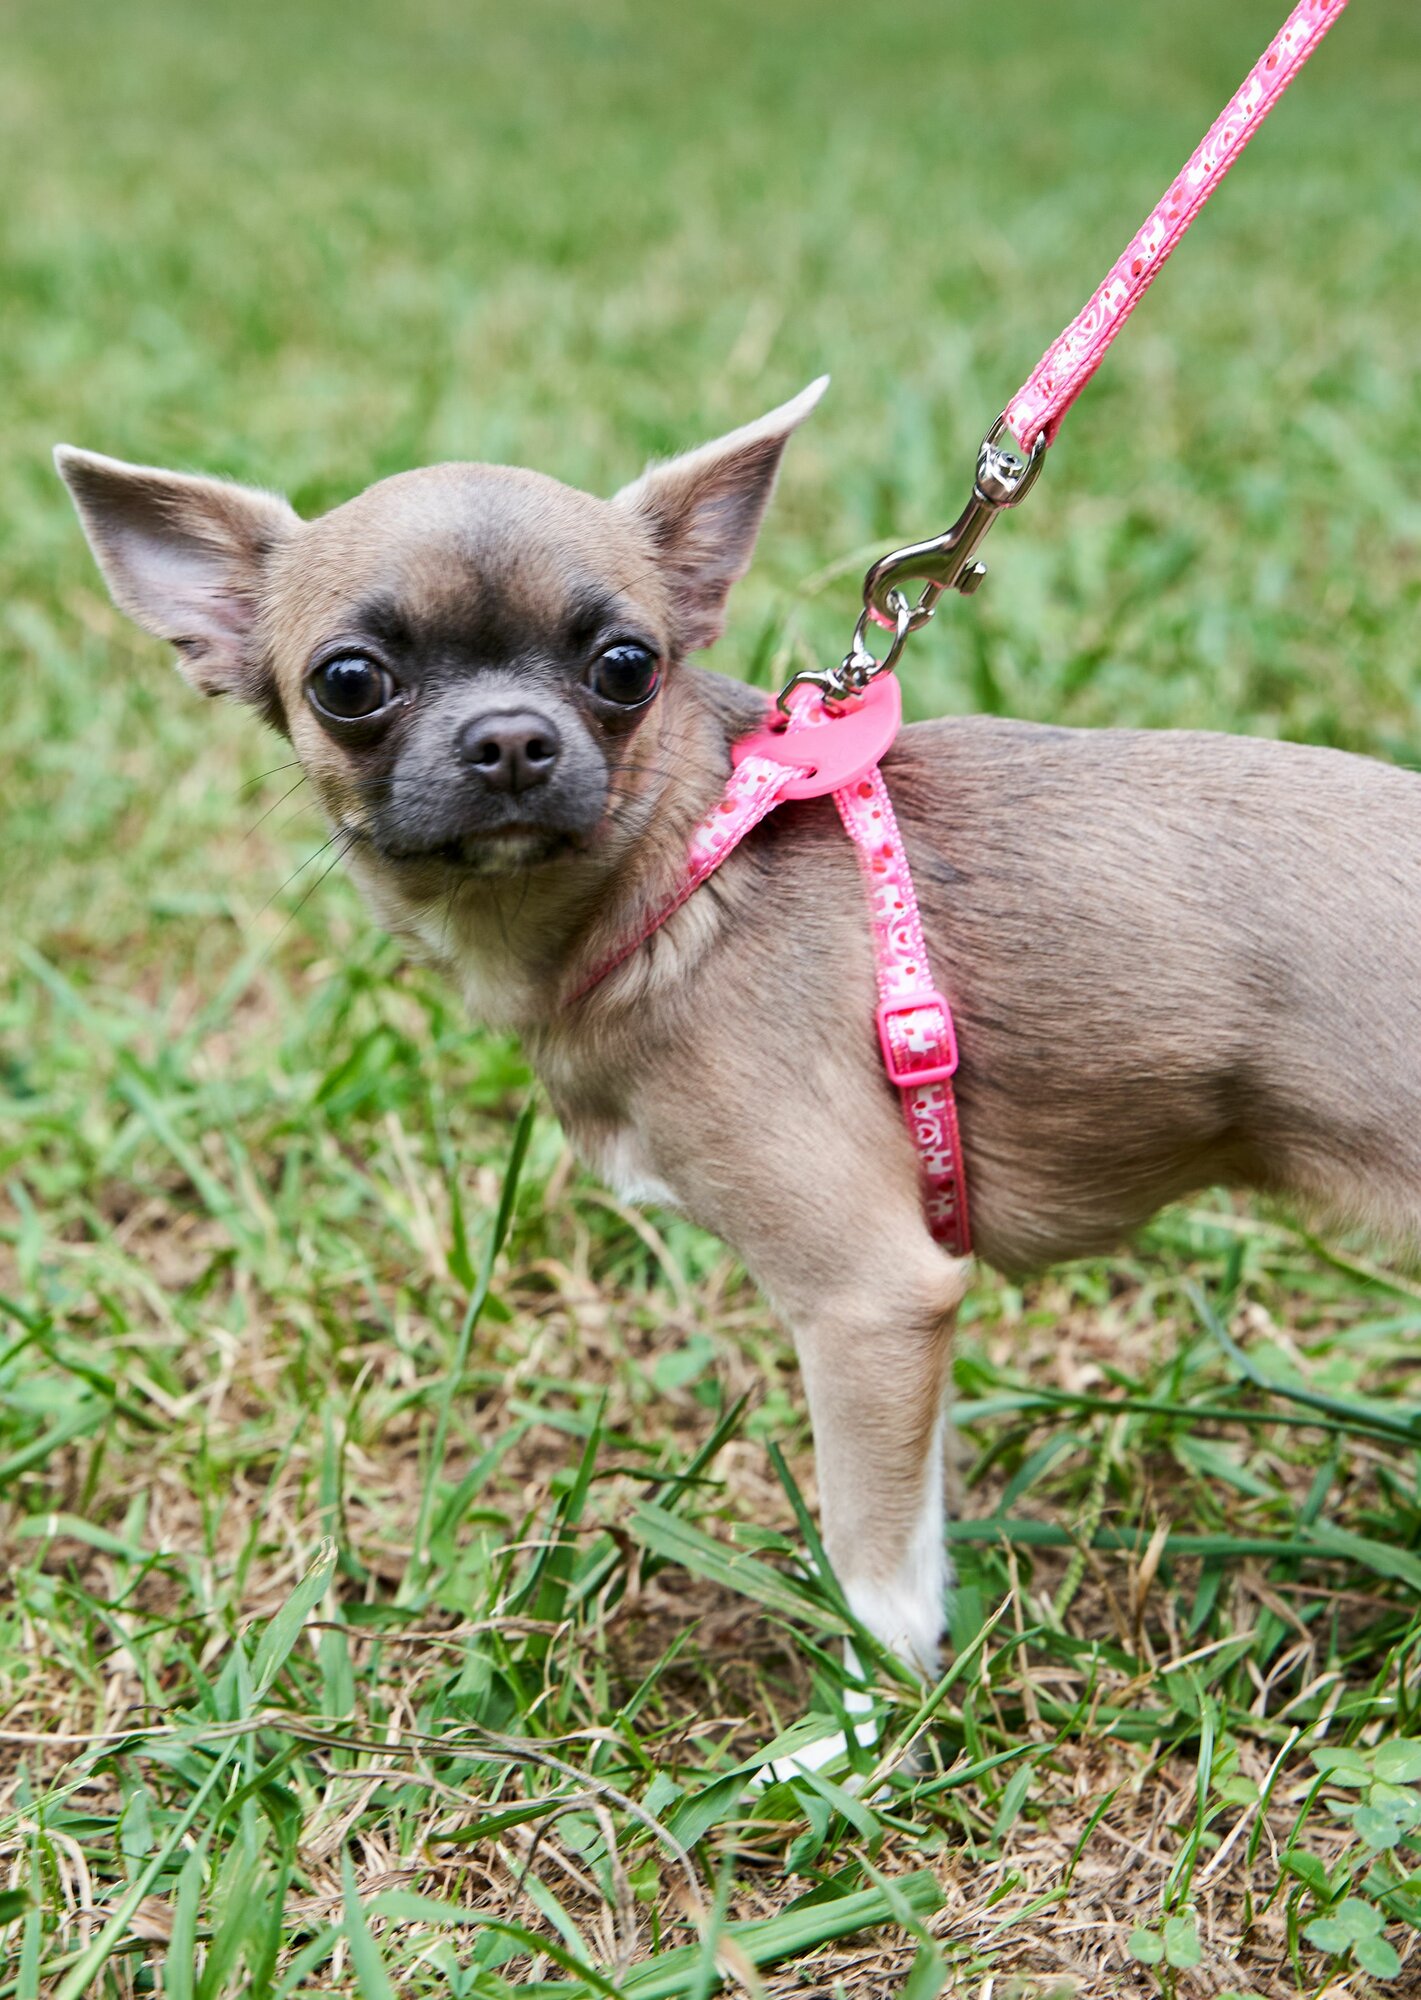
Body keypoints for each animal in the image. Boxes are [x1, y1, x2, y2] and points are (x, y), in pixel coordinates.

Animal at [56, 381, 1421, 1693]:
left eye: (625, 666)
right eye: (348, 682)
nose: (509, 738)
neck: (691, 864)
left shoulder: (869, 1303)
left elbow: (874, 1568)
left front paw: (864, 1728)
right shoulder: (903, 1331)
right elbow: (918, 1525)